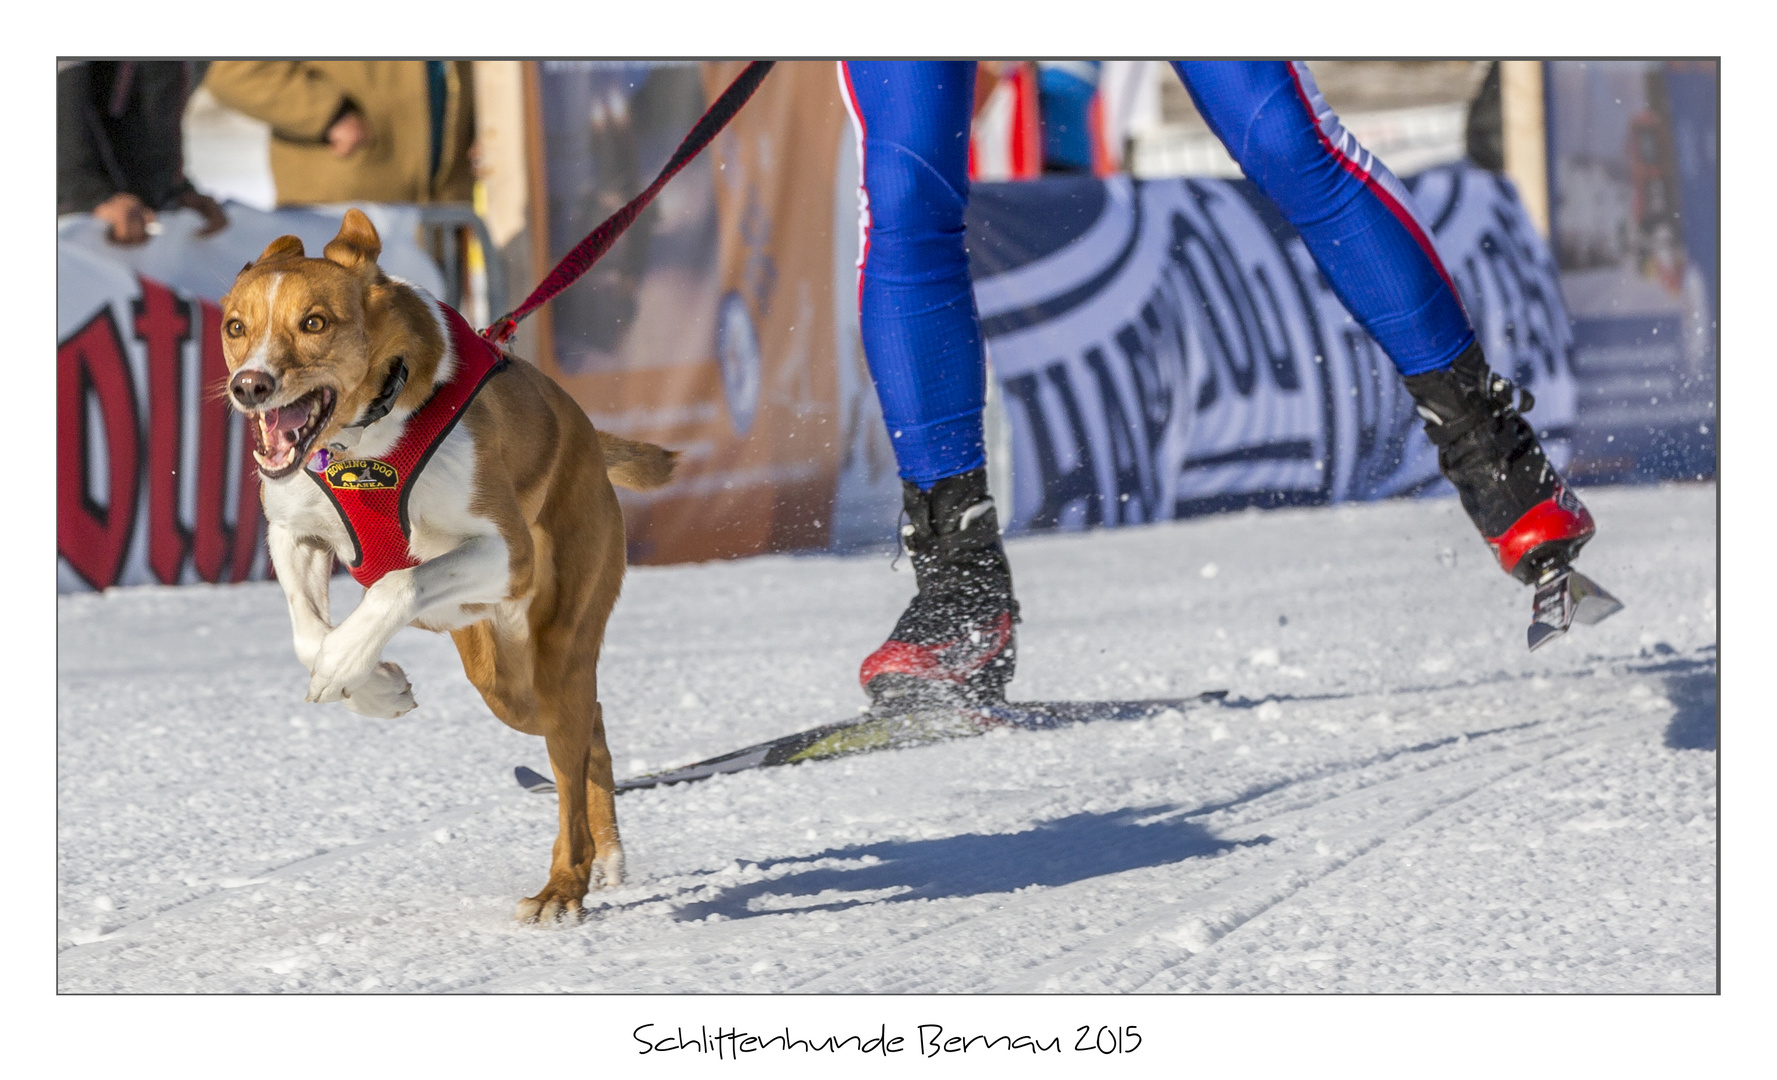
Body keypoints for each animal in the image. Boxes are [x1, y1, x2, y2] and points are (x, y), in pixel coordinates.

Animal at [216, 208, 671, 916]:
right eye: (236, 326)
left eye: (314, 322)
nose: (250, 386)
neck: (362, 445)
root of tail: (592, 446)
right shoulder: (294, 532)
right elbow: (306, 632)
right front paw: (368, 683)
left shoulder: (505, 552)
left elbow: (397, 583)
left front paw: (347, 663)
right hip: (500, 678)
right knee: (587, 727)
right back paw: (605, 858)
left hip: (557, 644)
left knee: (570, 758)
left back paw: (565, 883)